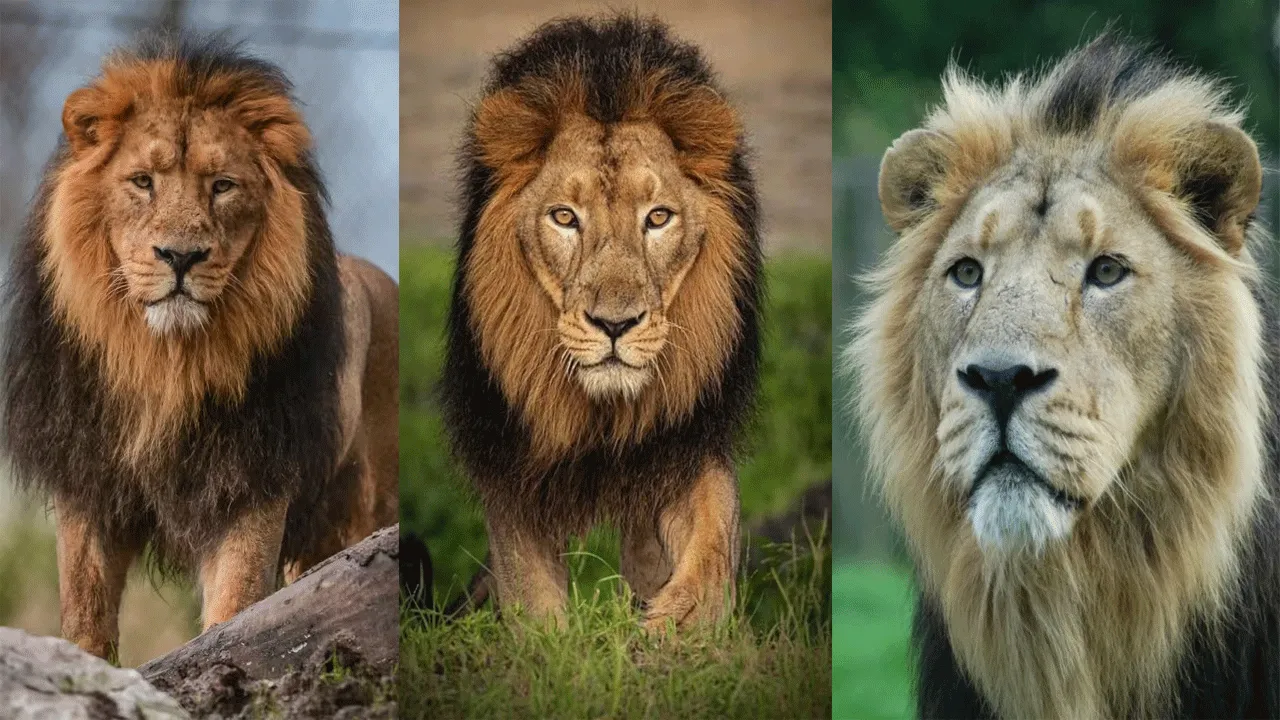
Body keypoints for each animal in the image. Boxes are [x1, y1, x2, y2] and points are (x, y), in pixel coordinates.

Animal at [1, 34, 399, 662]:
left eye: (223, 186)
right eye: (142, 181)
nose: (181, 257)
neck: (167, 362)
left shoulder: (253, 479)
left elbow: (237, 605)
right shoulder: (88, 477)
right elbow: (85, 608)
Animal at [441, 14, 763, 630]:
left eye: (658, 218)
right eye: (565, 217)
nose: (615, 325)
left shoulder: (686, 437)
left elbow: (713, 541)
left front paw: (678, 626)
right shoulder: (510, 463)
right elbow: (532, 596)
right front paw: (555, 644)